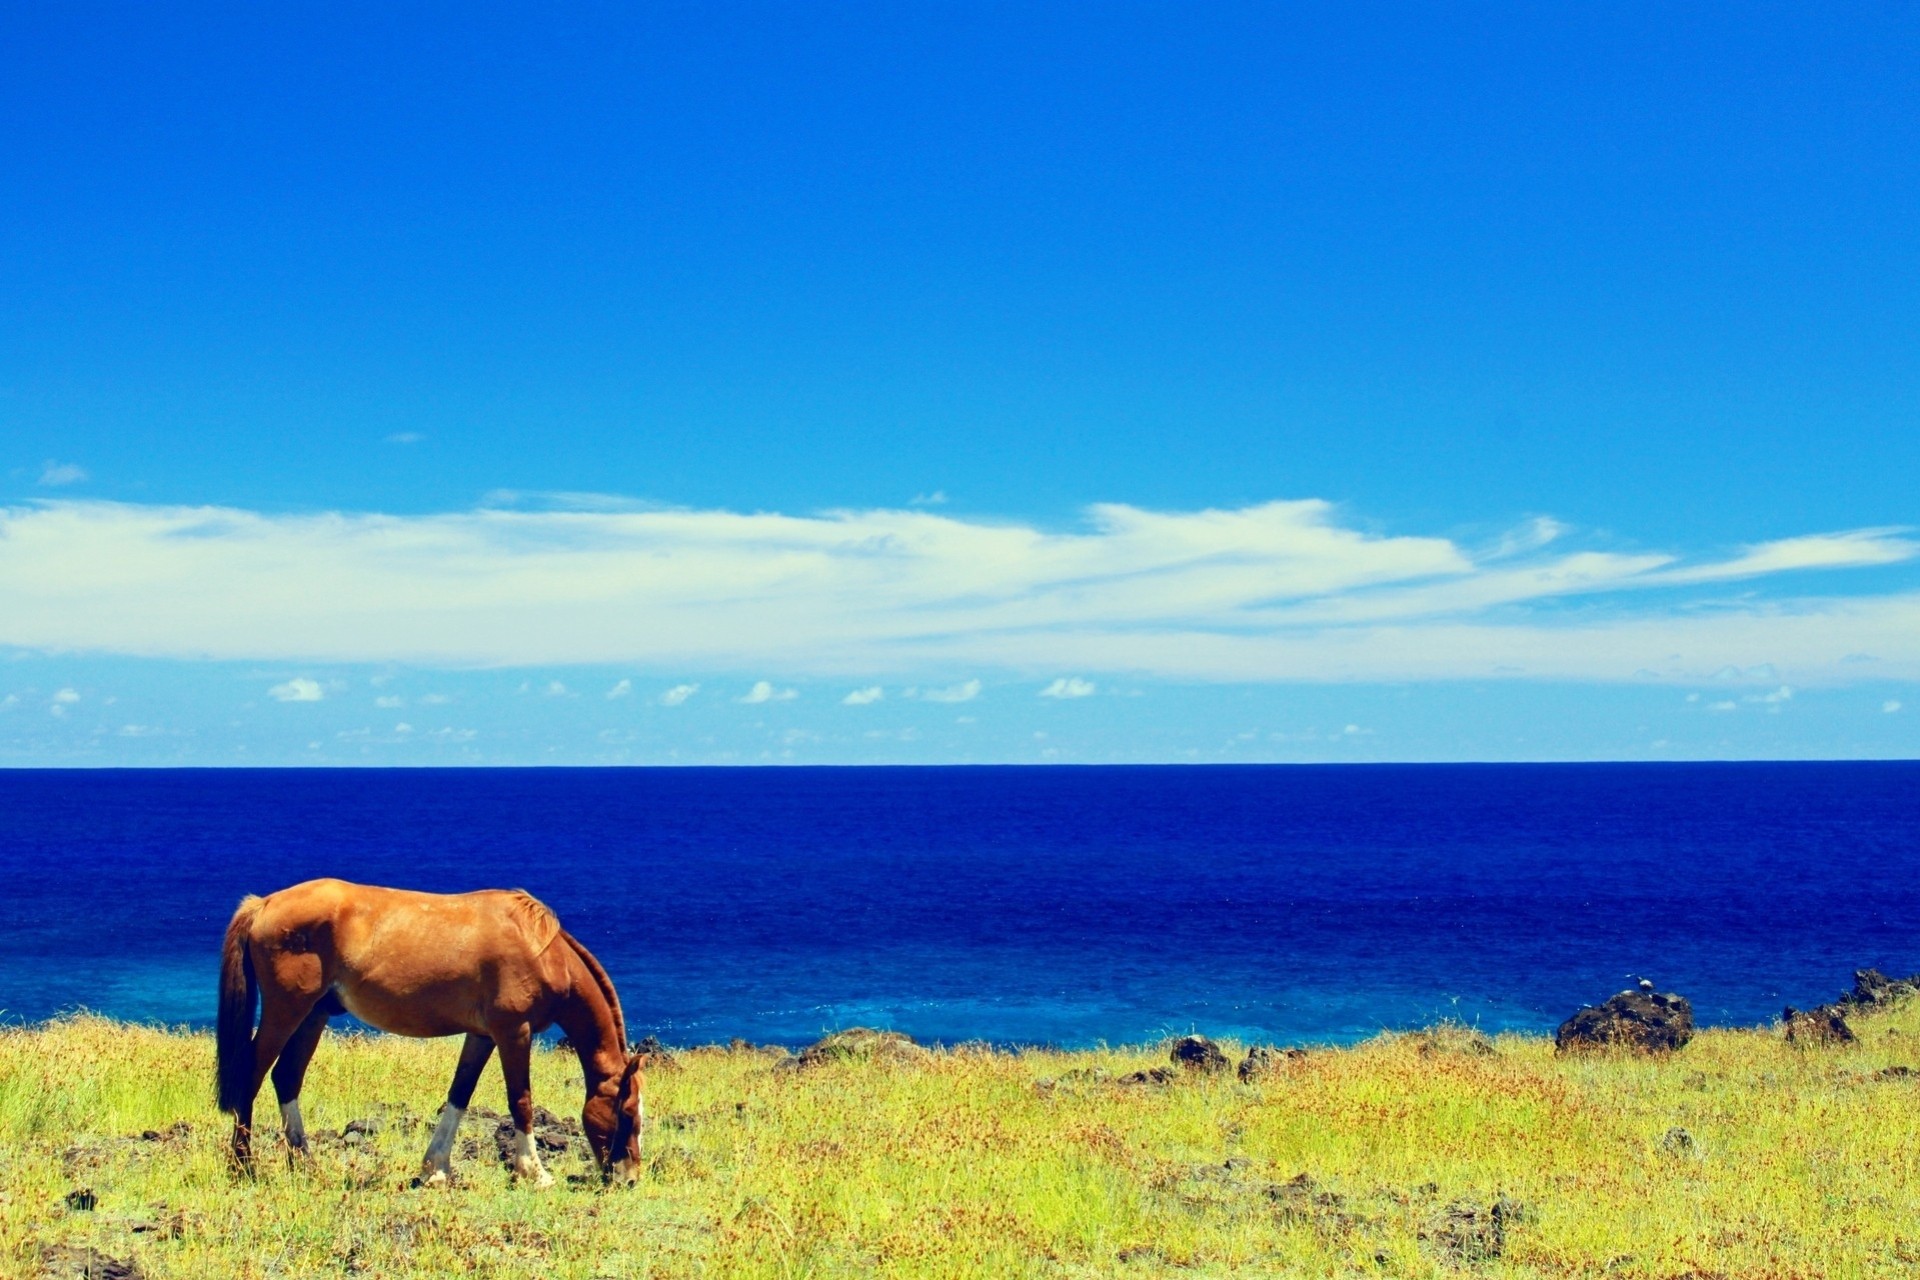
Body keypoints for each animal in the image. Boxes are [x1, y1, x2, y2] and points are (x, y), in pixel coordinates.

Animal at [216, 878, 644, 1187]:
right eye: (627, 1113)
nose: (629, 1178)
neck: (540, 950)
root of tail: (263, 904)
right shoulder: (513, 1032)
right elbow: (520, 1100)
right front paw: (535, 1173)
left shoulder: (482, 1036)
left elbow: (459, 1095)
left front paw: (436, 1169)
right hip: (286, 1011)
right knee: (252, 1075)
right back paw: (243, 1166)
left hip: (312, 1015)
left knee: (286, 1077)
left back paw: (306, 1164)